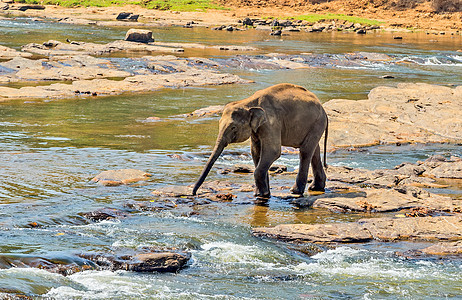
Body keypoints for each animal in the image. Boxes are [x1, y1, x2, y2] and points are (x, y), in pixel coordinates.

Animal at [191, 83, 328, 198]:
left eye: (233, 127)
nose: (194, 193)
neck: (248, 102)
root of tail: (323, 109)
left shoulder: (271, 122)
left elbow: (273, 151)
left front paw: (260, 195)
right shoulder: (257, 129)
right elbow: (256, 151)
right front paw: (263, 193)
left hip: (317, 122)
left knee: (305, 151)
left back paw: (295, 191)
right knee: (314, 151)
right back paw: (315, 188)